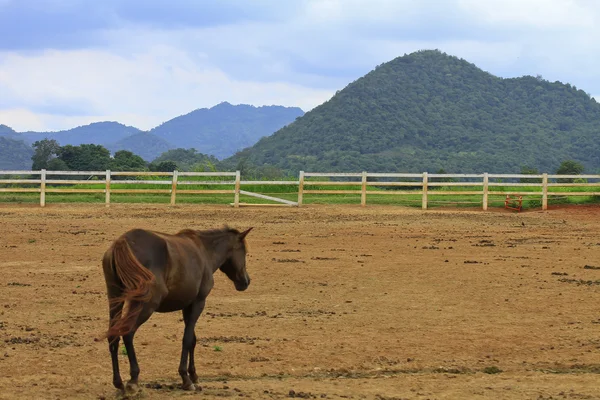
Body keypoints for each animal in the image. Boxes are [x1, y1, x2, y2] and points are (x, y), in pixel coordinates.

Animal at [102, 225, 252, 394]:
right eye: (244, 252)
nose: (246, 281)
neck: (204, 251)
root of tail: (123, 242)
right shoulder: (199, 303)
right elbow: (187, 339)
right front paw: (186, 379)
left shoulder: (188, 305)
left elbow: (193, 339)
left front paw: (194, 375)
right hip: (145, 305)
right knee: (128, 333)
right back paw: (133, 380)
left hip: (115, 298)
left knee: (113, 335)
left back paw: (118, 383)